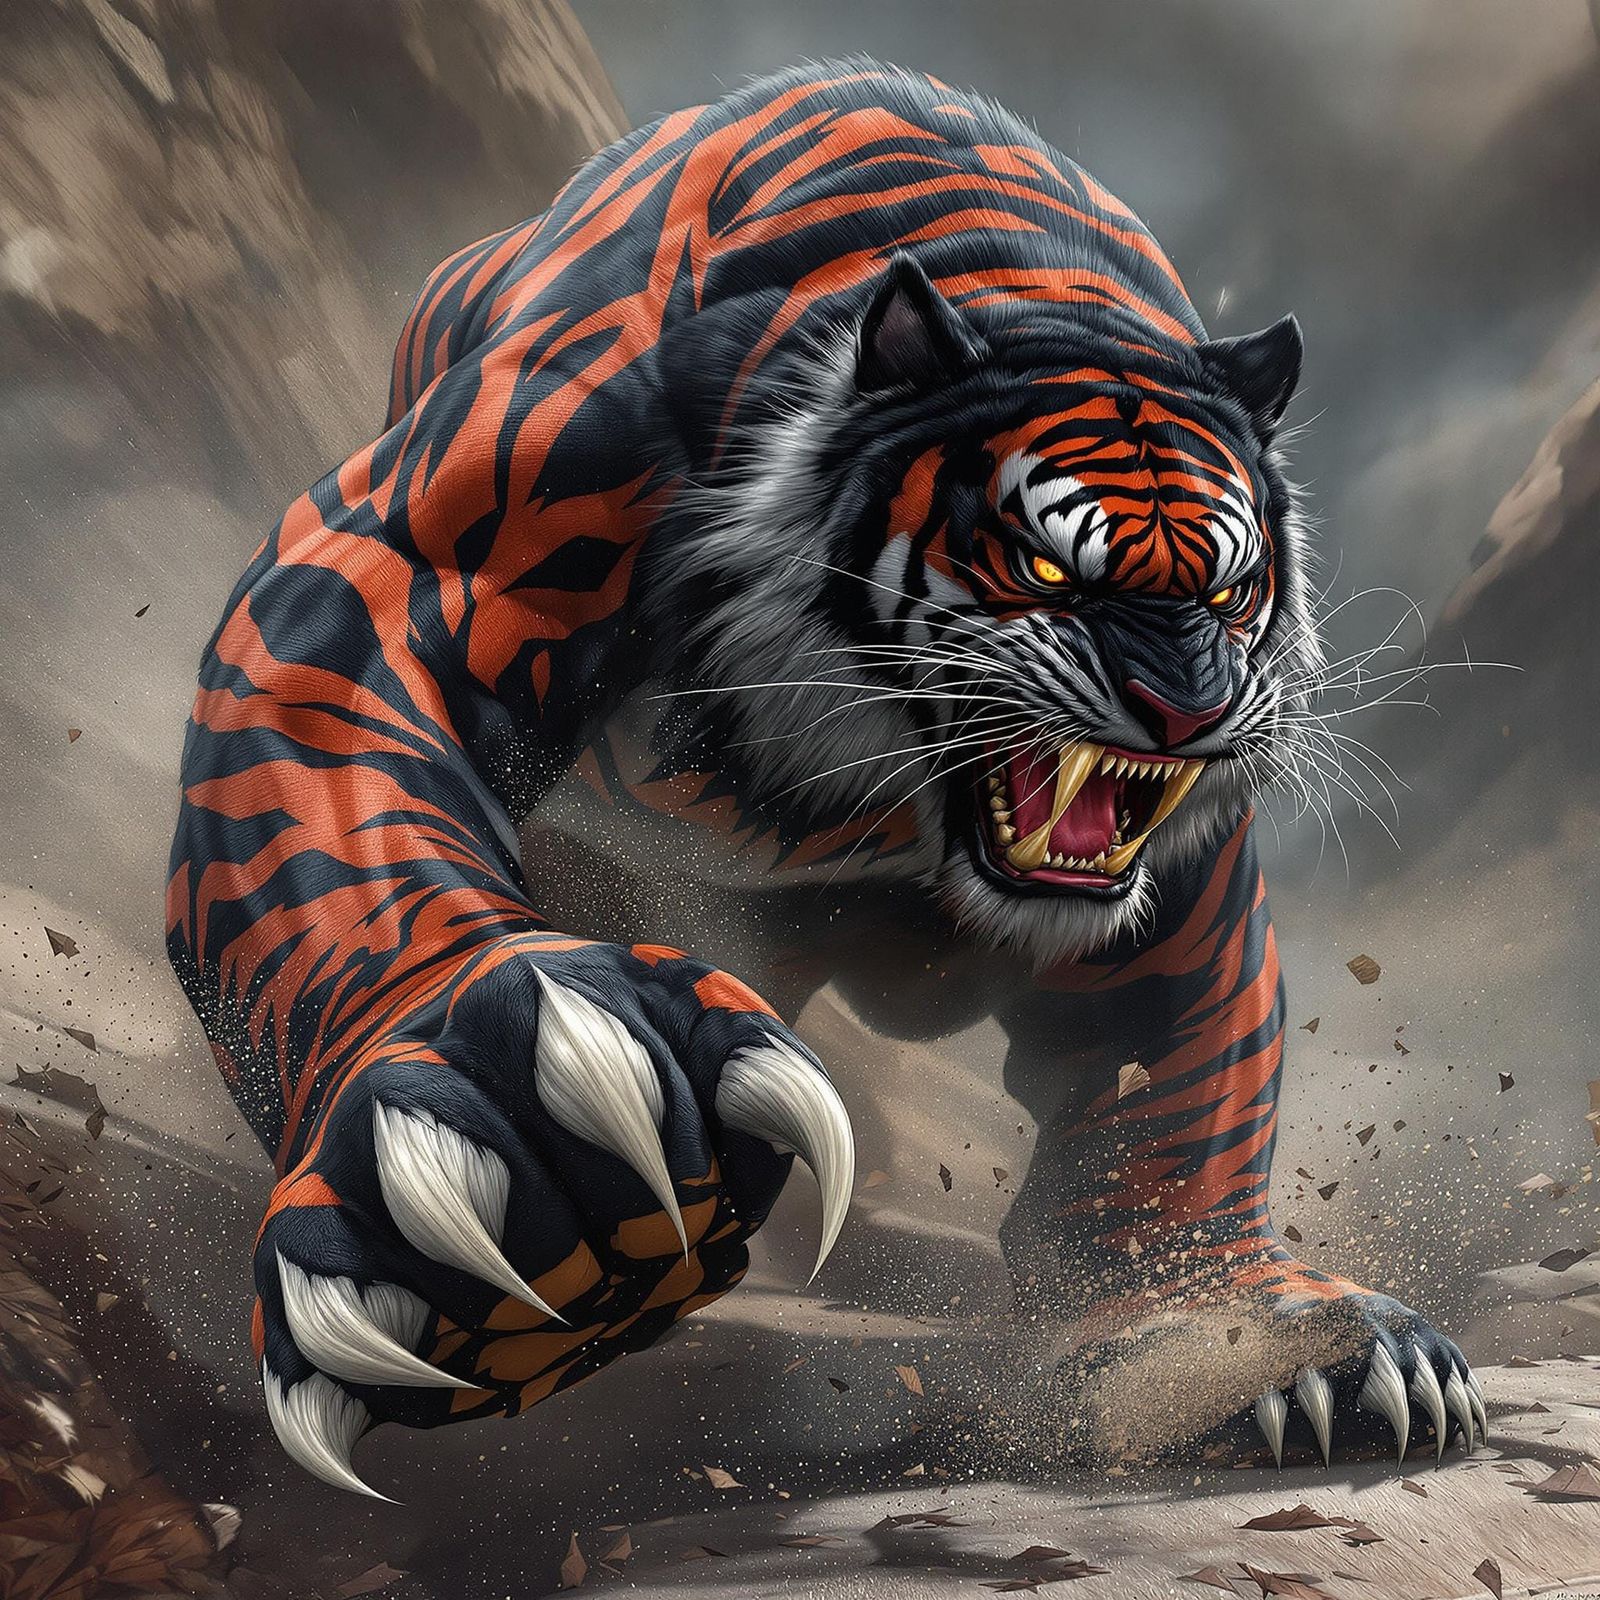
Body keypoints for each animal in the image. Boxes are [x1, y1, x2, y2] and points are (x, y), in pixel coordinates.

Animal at [166, 59, 1484, 1495]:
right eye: (1046, 567)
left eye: (1234, 588)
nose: (1186, 705)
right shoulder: (425, 561)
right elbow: (351, 795)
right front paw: (523, 1143)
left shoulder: (1178, 886)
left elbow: (1176, 1095)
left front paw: (1245, 1341)